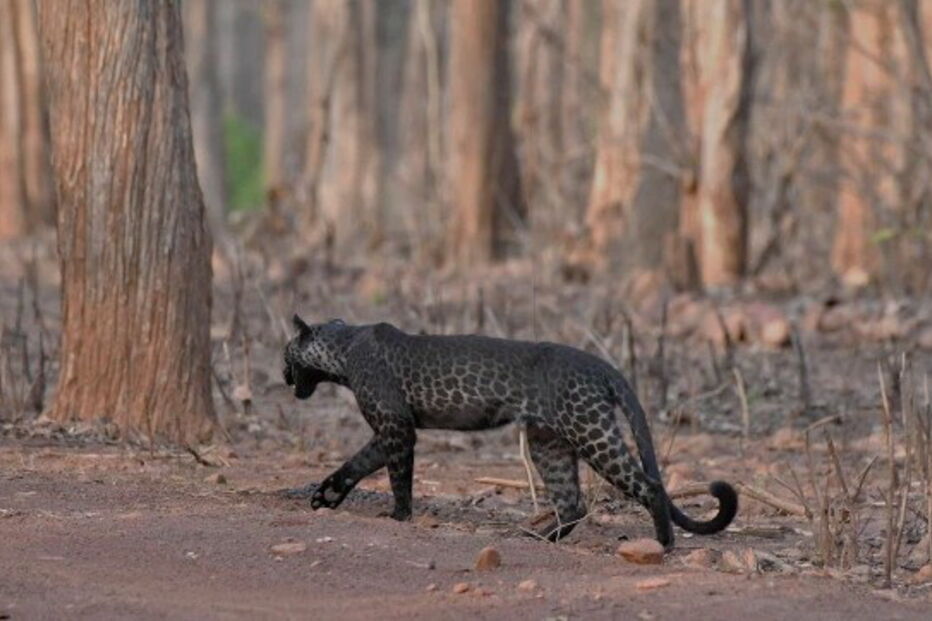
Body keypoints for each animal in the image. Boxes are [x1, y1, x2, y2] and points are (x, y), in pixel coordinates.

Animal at [283, 315, 737, 548]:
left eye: (286, 353)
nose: (283, 375)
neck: (343, 349)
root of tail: (602, 365)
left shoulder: (396, 426)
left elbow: (398, 475)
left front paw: (399, 516)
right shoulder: (389, 429)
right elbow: (358, 462)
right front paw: (325, 496)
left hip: (589, 430)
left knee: (647, 484)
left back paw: (663, 544)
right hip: (549, 443)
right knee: (572, 501)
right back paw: (539, 537)